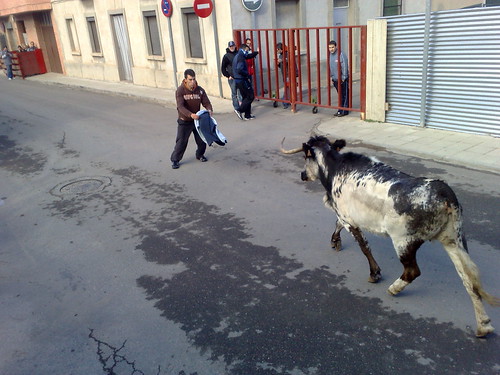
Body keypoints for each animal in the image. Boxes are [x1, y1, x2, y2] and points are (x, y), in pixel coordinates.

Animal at [284, 137, 498, 340]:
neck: (335, 167)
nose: (302, 175)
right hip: (454, 240)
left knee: (412, 271)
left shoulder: (348, 217)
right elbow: (339, 226)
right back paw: (483, 325)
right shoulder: (346, 216)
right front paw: (335, 241)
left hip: (404, 241)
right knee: (469, 280)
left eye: (305, 156)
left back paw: (394, 289)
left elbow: (363, 245)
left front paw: (374, 273)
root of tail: (444, 194)